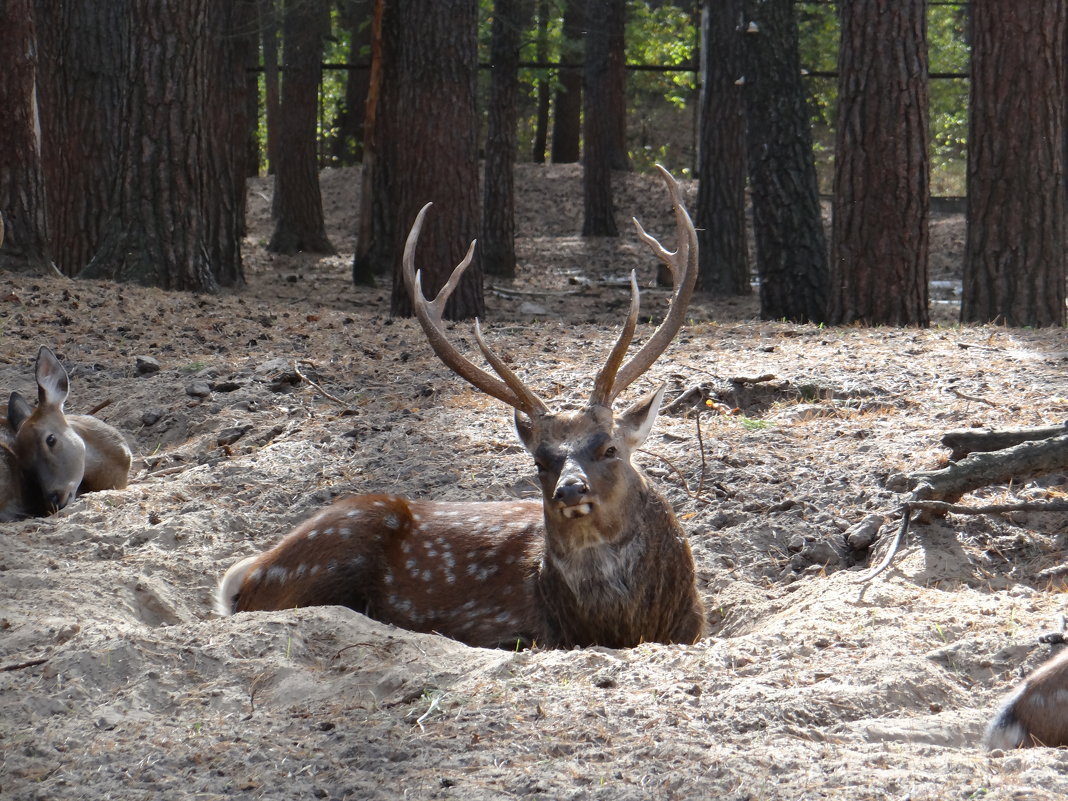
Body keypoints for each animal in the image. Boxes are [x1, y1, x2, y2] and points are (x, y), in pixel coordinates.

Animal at [216, 166, 704, 649]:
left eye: (609, 448)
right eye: (540, 461)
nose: (570, 490)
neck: (618, 626)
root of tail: (249, 573)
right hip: (336, 546)